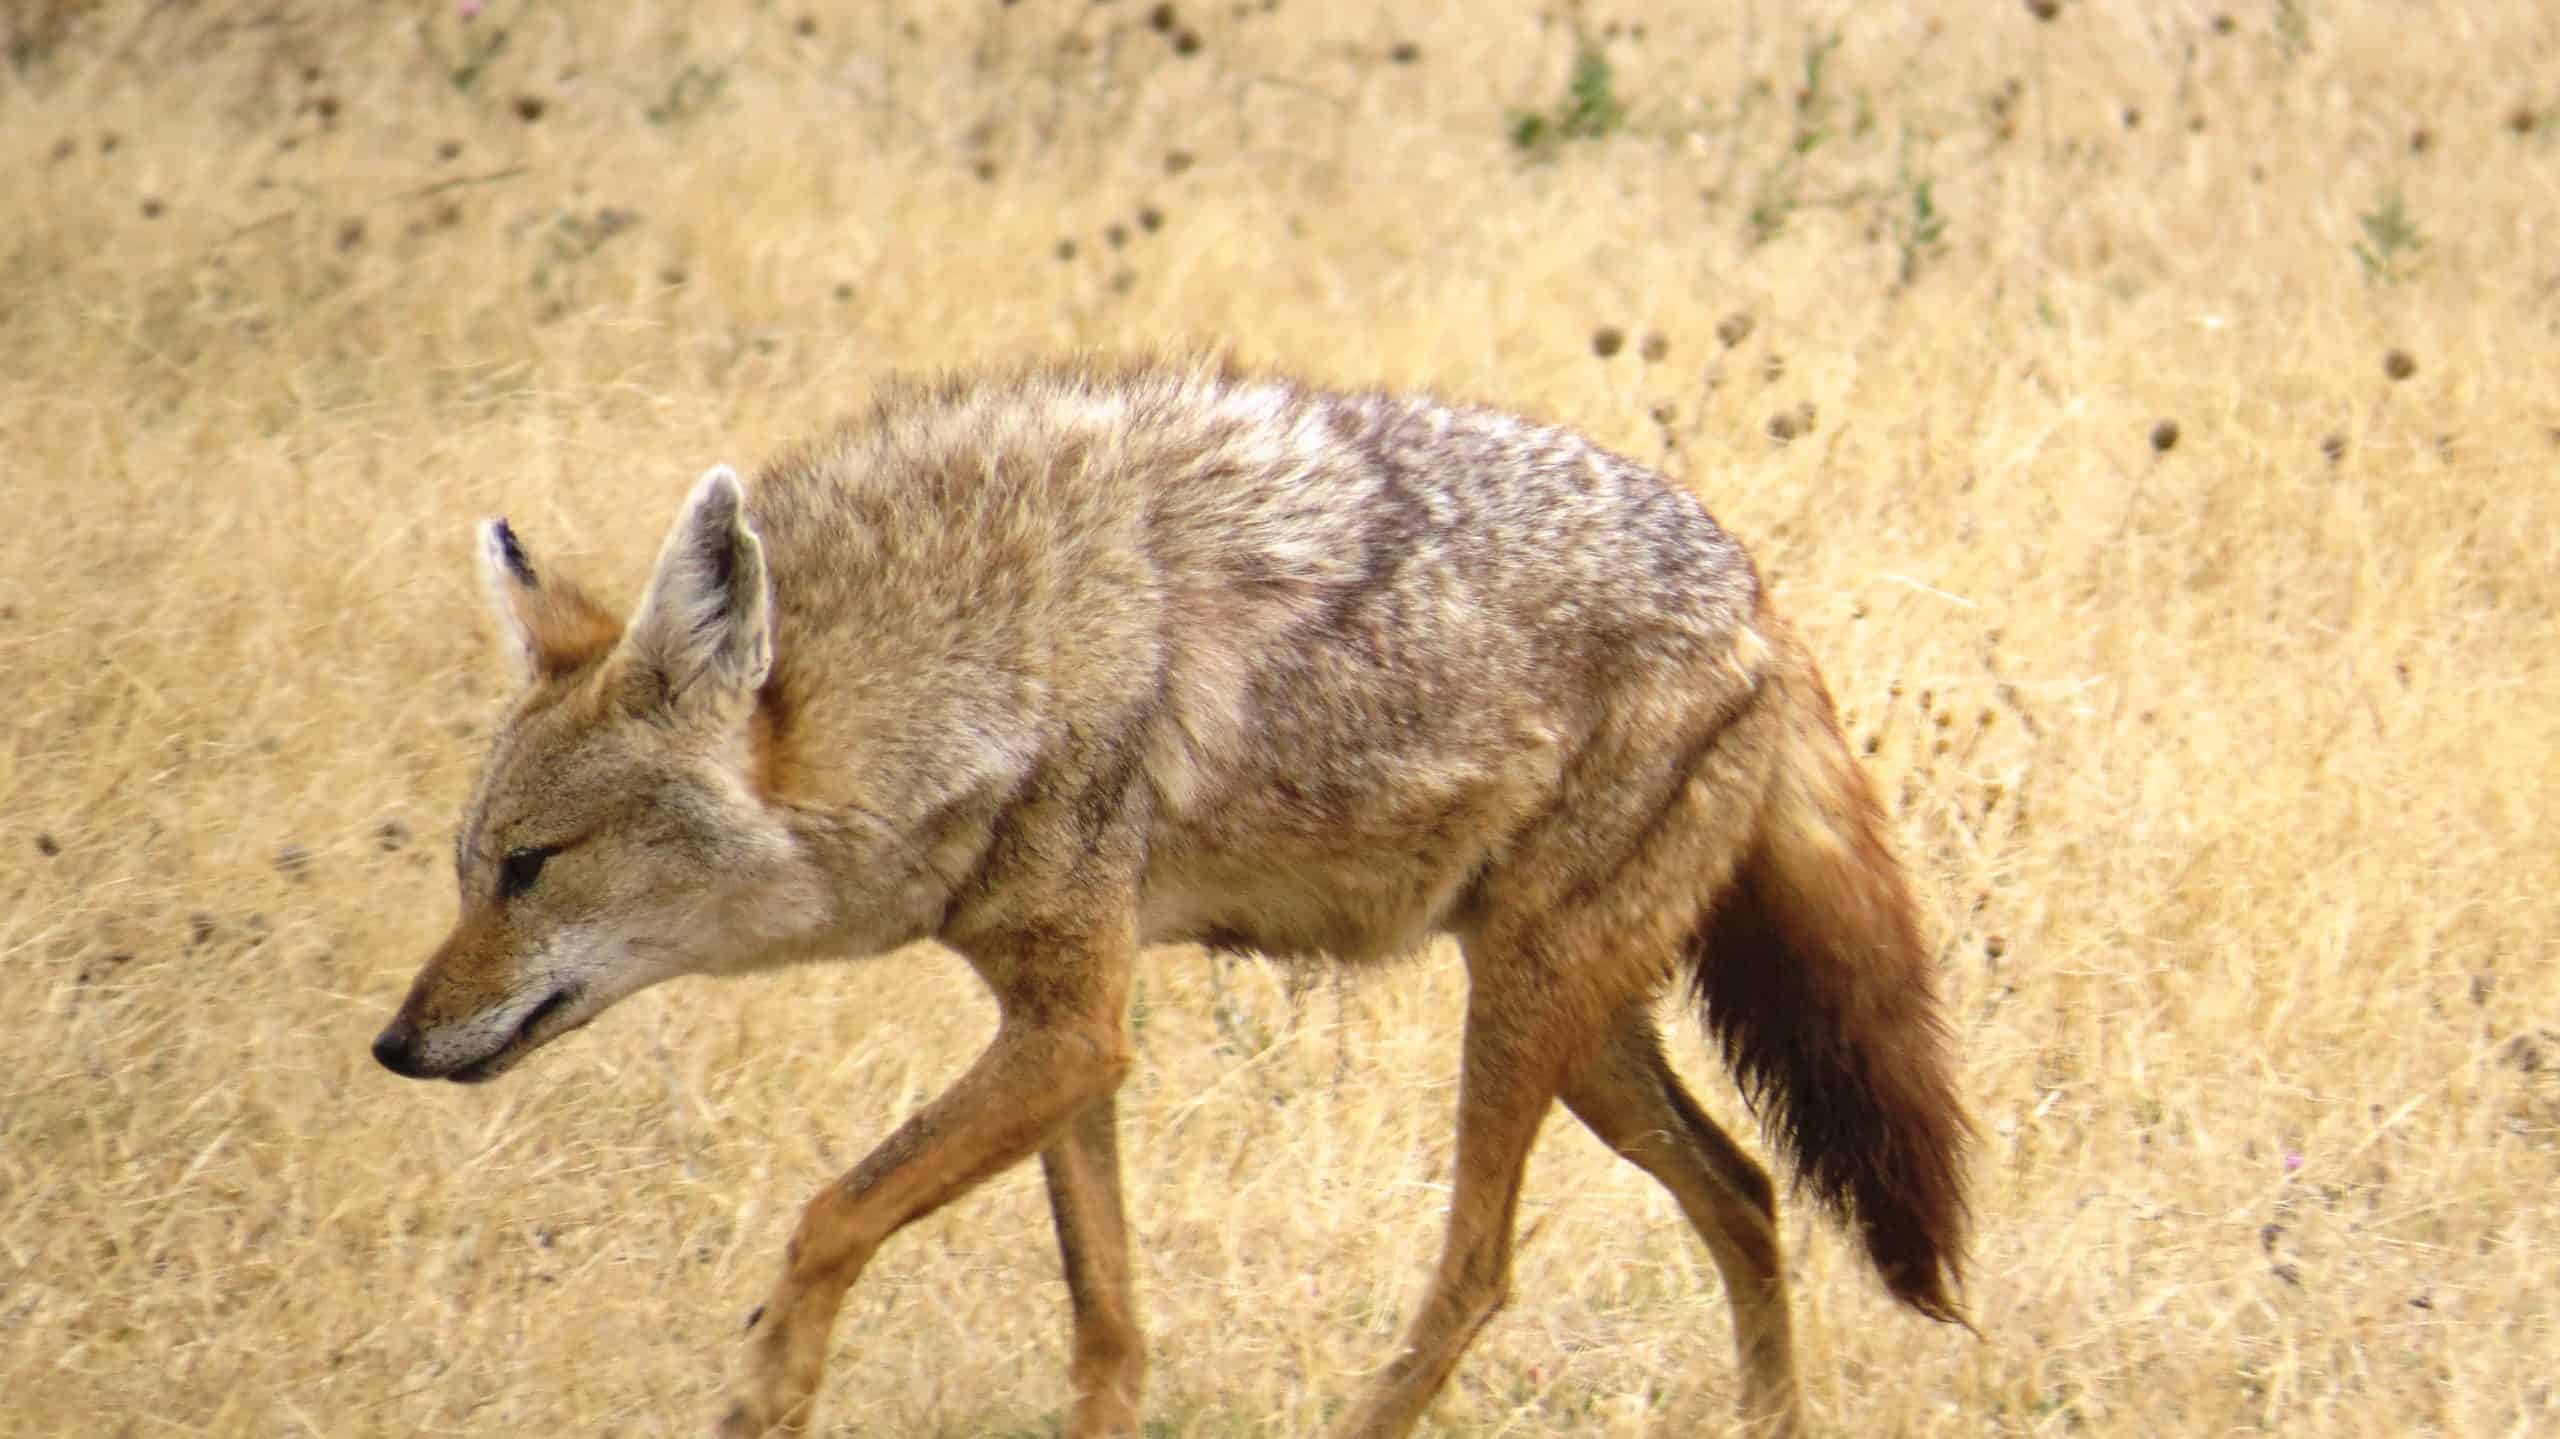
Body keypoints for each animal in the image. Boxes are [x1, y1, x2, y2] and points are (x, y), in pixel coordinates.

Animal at [371, 356, 1971, 1438]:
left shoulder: (1074, 1032)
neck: (987, 656)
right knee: (1748, 1192)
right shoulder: (1064, 1031)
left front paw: (766, 1387)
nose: (393, 1044)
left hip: (1524, 1020)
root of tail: (1761, 597)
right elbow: (1108, 1321)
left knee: (1479, 1270)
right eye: (468, 870)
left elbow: (828, 1215)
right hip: (1584, 1042)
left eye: (531, 866)